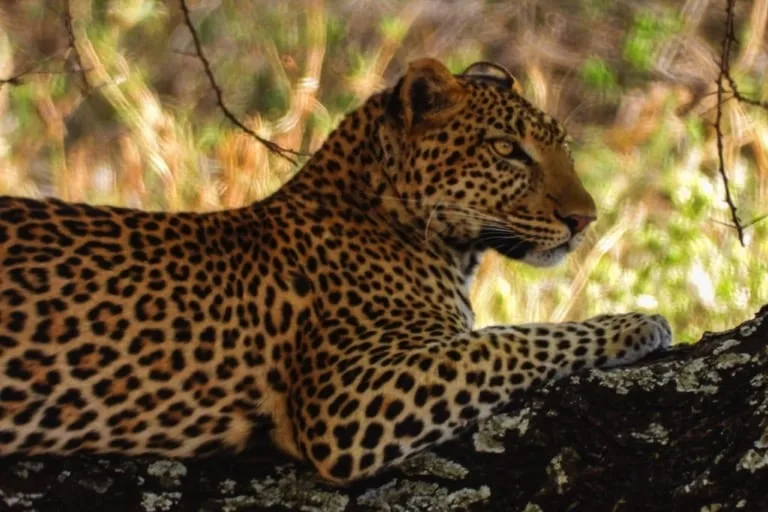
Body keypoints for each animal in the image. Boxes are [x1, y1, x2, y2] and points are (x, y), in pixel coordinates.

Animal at [0, 58, 671, 484]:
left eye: (564, 146)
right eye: (507, 150)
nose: (585, 218)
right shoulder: (349, 398)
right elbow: (501, 342)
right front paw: (635, 324)